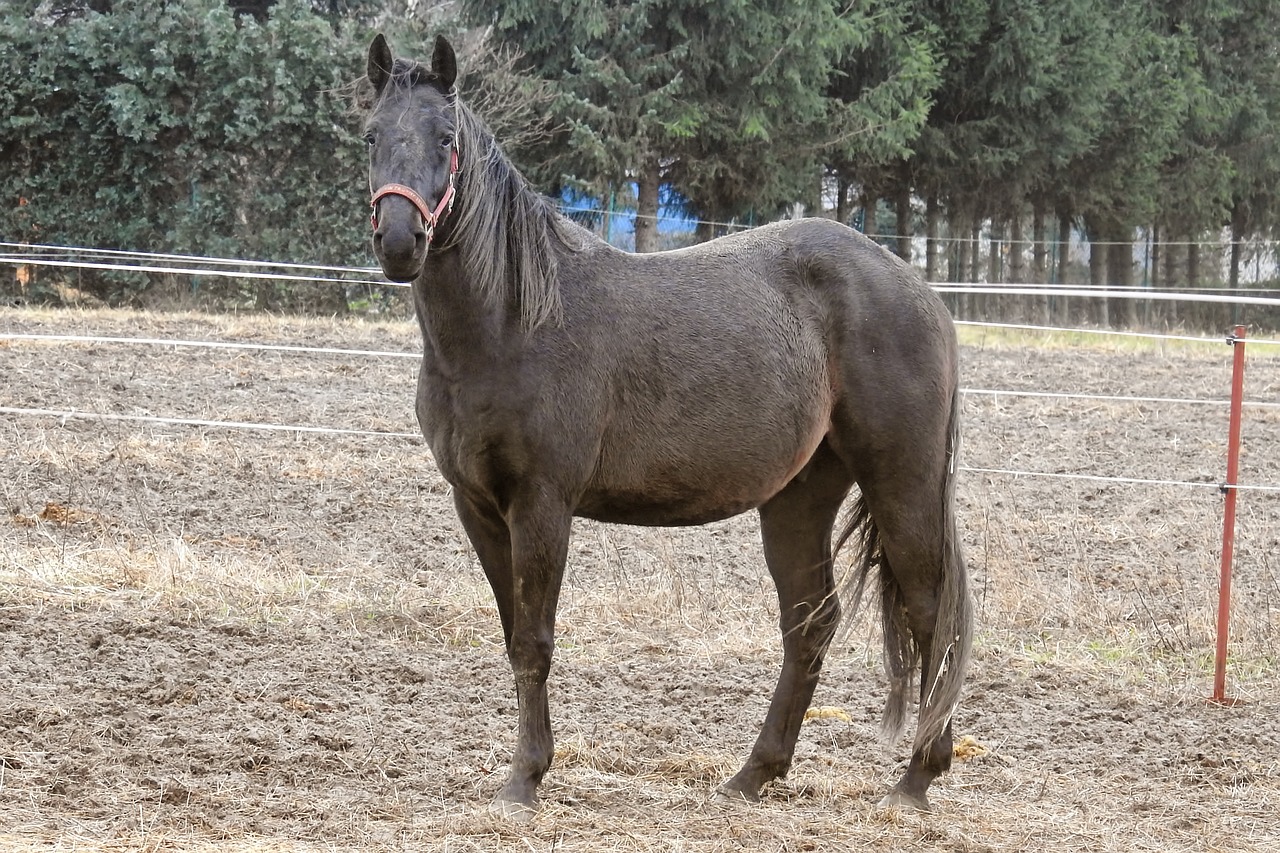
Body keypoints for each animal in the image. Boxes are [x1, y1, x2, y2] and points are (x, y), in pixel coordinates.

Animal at [360, 34, 967, 819]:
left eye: (445, 137)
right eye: (372, 135)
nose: (401, 241)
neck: (510, 325)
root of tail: (917, 287)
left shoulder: (543, 504)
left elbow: (534, 641)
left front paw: (525, 778)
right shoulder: (477, 505)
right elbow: (512, 634)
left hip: (903, 482)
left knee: (928, 610)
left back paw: (915, 778)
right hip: (800, 495)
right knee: (809, 621)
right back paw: (754, 774)